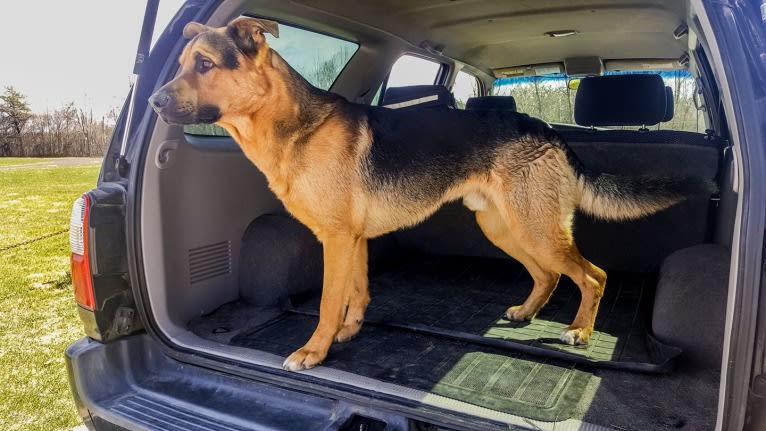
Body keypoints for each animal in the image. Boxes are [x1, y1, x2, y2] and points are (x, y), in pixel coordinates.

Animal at [152, 16, 720, 372]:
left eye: (204, 65)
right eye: (180, 66)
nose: (153, 100)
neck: (293, 126)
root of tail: (546, 128)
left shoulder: (336, 240)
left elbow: (329, 302)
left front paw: (314, 352)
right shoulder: (353, 240)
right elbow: (357, 292)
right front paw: (350, 332)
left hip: (533, 227)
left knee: (592, 275)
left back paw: (579, 333)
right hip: (502, 227)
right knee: (550, 274)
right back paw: (526, 312)